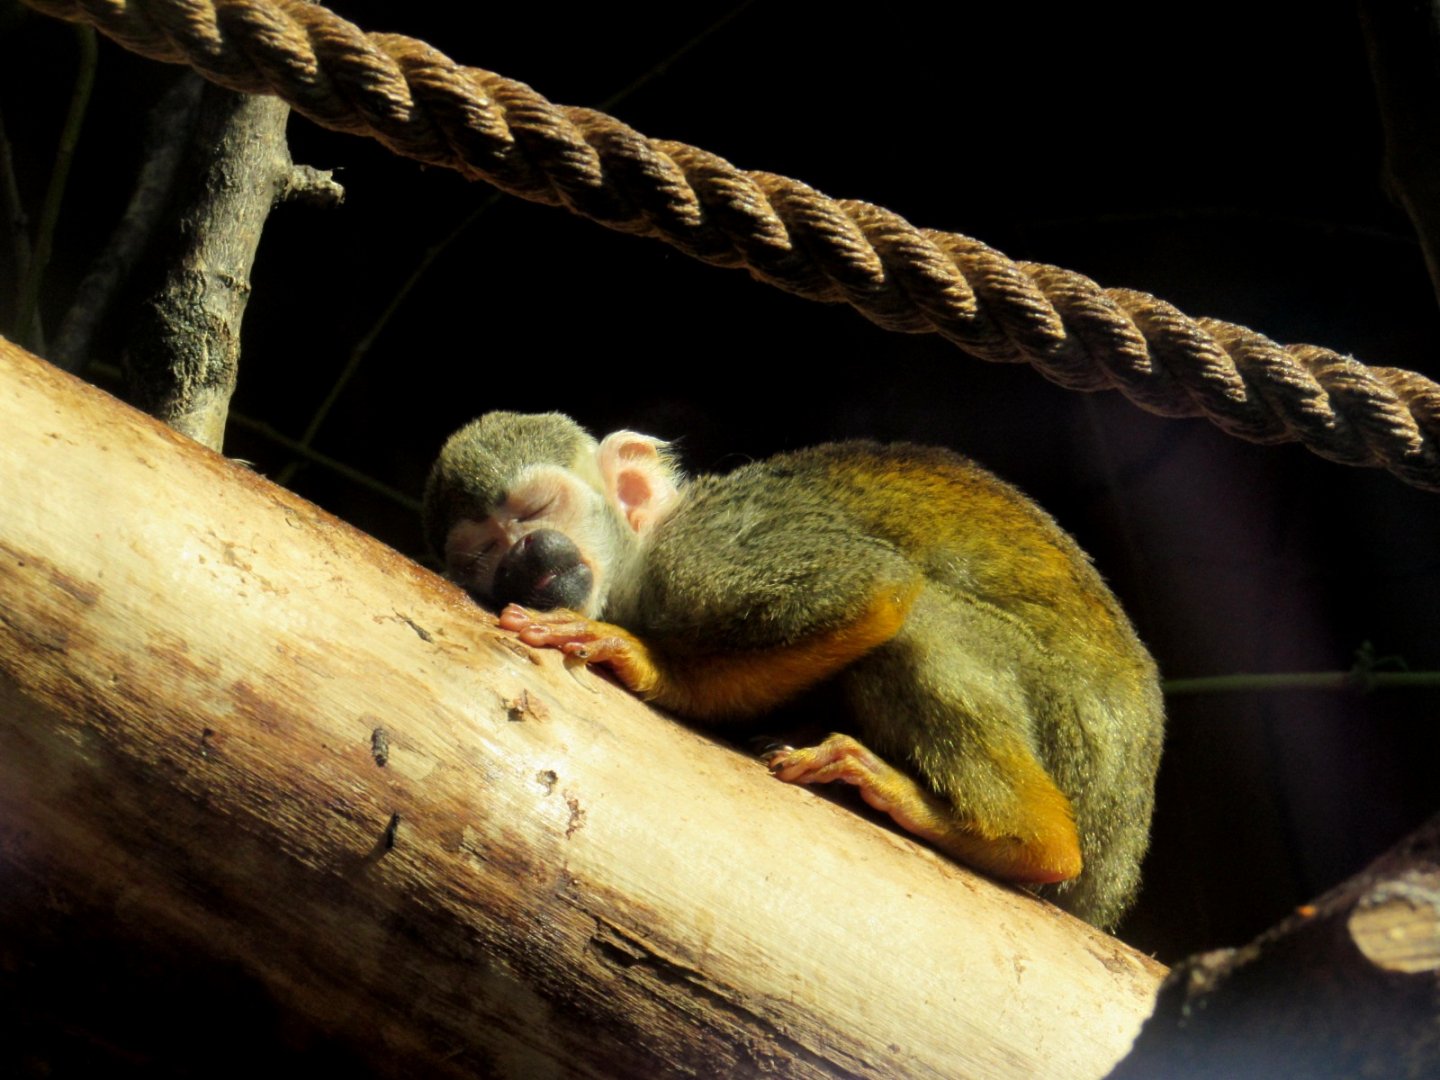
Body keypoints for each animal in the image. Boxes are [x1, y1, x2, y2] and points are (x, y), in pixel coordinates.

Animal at [423, 411, 1164, 929]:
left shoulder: (703, 557)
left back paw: (1025, 839)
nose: (523, 556)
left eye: (535, 511)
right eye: (482, 556)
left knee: (920, 614)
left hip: (1075, 740)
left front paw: (644, 662)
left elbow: (873, 586)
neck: (642, 555)